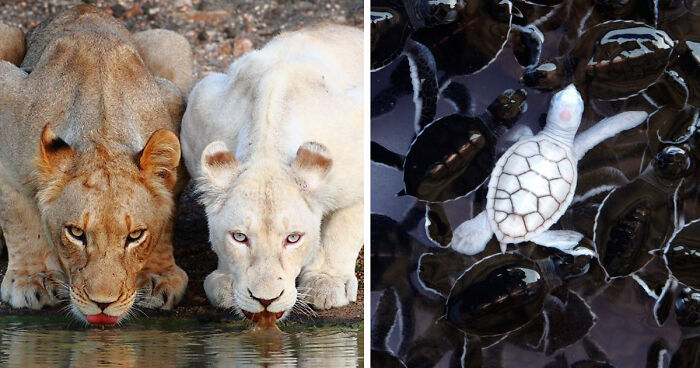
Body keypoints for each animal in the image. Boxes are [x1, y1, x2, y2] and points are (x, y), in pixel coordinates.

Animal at [0, 4, 194, 324]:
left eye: (135, 236)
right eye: (76, 233)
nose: (103, 303)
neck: (103, 131)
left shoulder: (175, 106)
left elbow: (167, 218)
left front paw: (158, 275)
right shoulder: (7, 99)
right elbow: (19, 220)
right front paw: (33, 278)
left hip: (170, 41)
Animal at [182, 25, 360, 324]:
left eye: (293, 238)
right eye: (239, 237)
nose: (265, 301)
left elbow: (342, 229)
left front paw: (326, 282)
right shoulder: (200, 102)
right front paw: (225, 282)